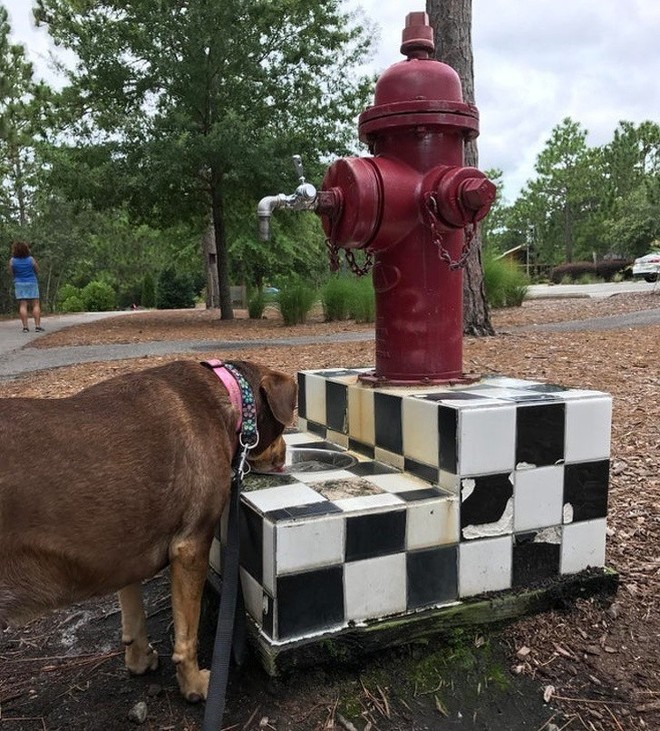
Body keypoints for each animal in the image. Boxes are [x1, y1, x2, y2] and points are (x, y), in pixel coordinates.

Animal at [0, 360, 296, 704]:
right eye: (283, 429)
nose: (285, 457)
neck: (230, 394)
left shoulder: (125, 547)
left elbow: (134, 616)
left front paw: (139, 660)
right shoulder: (191, 546)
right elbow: (186, 636)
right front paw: (194, 685)